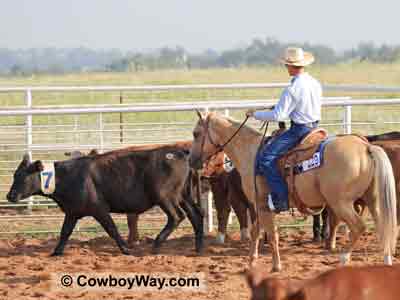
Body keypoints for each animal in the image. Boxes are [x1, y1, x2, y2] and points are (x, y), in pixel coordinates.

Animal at [7, 145, 203, 255]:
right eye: (15, 174)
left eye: (23, 177)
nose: (10, 196)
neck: (69, 176)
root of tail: (180, 152)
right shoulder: (72, 213)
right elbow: (65, 233)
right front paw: (56, 252)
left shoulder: (99, 210)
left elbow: (112, 230)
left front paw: (126, 249)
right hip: (184, 196)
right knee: (196, 215)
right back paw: (198, 248)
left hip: (165, 197)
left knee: (176, 217)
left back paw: (156, 244)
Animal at [190, 112, 396, 272]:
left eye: (196, 133)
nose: (191, 160)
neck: (252, 153)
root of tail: (366, 147)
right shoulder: (259, 205)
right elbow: (256, 231)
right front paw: (251, 262)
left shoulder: (262, 204)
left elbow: (272, 234)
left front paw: (276, 266)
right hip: (372, 199)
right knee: (384, 225)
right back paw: (387, 260)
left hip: (341, 203)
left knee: (359, 226)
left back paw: (344, 257)